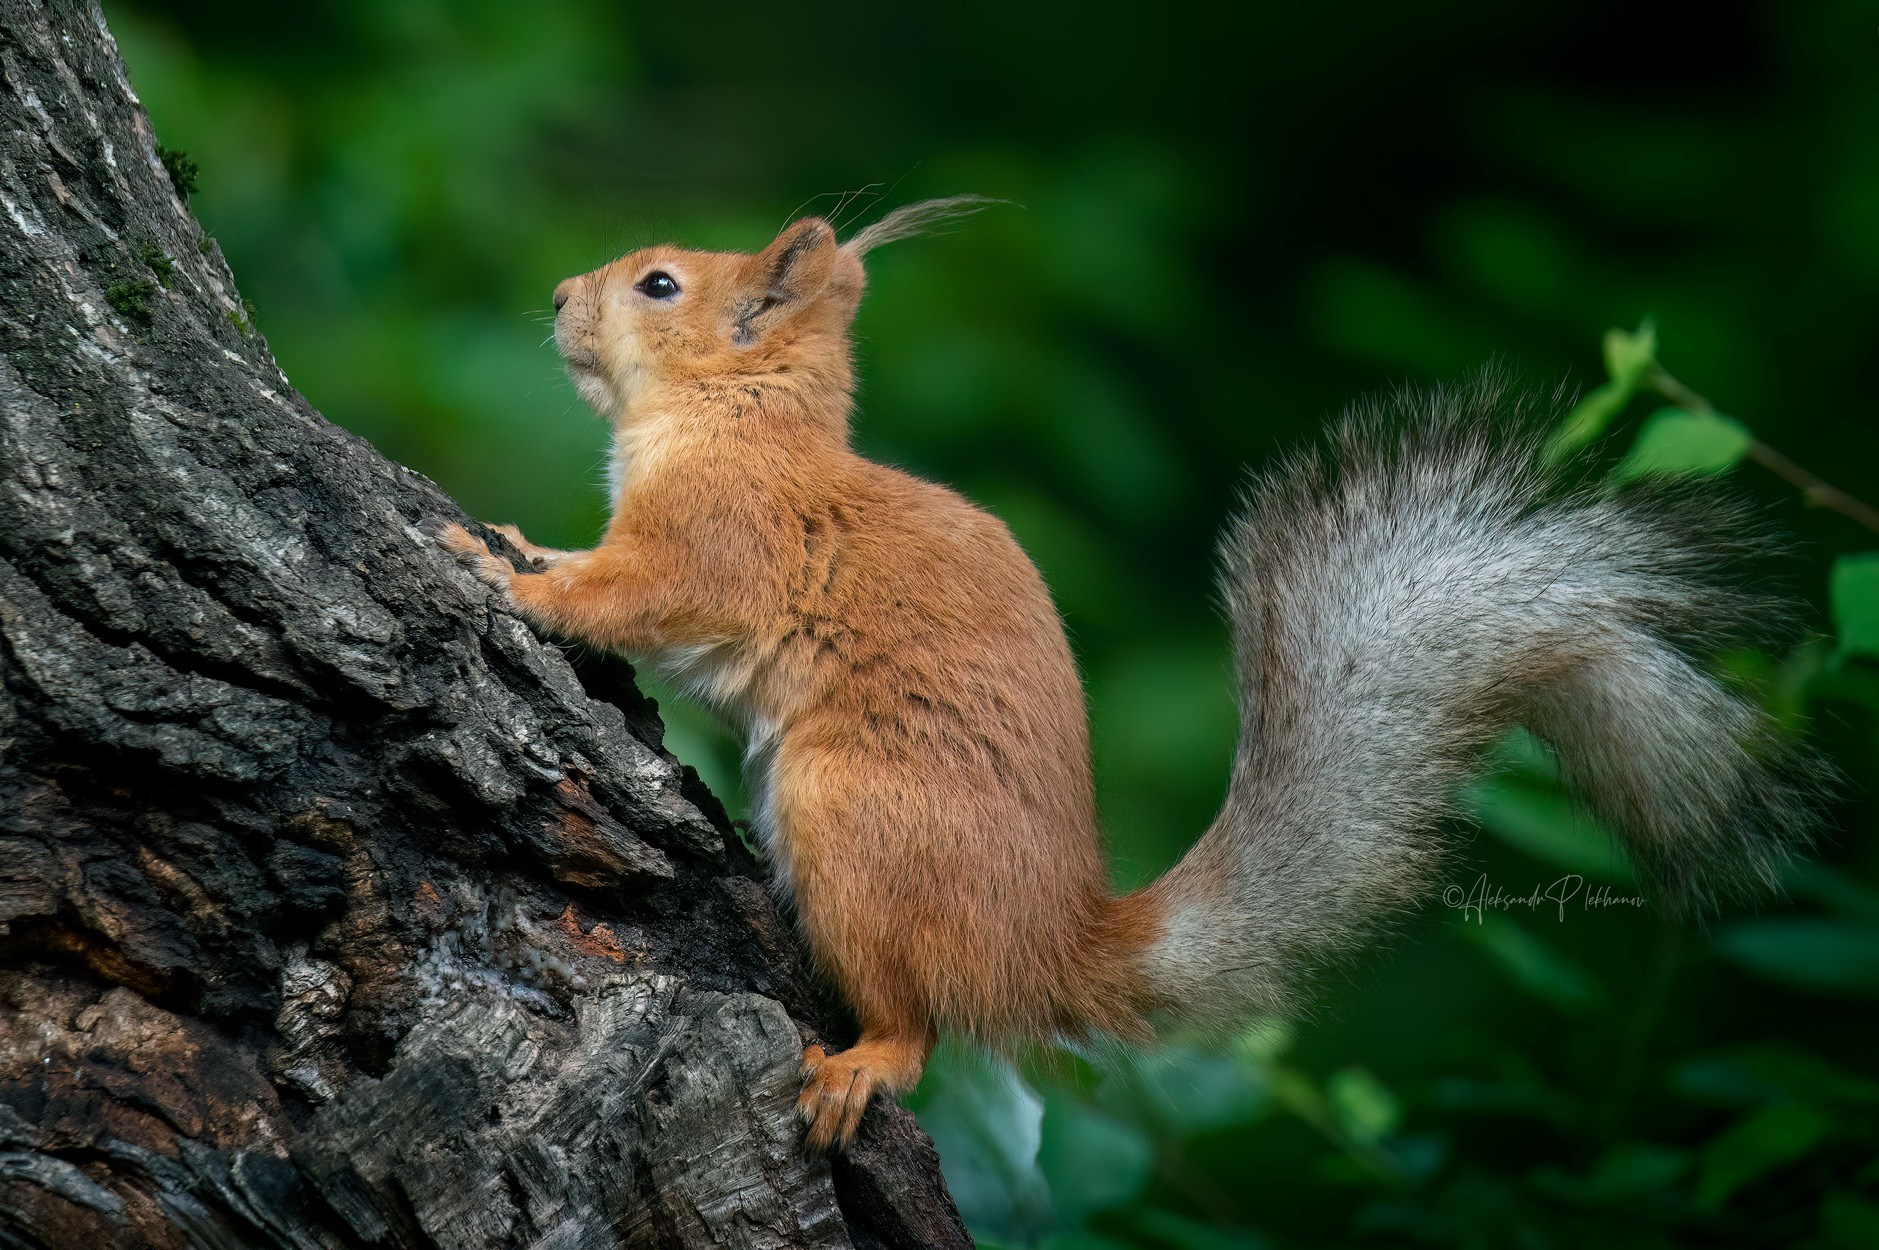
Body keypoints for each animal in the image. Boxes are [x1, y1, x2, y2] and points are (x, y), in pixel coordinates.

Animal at [425, 198, 1814, 1151]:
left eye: (659, 283)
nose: (560, 292)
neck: (742, 410)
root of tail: (1056, 944)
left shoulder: (718, 538)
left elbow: (630, 594)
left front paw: (500, 574)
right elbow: (592, 564)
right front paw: (520, 541)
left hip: (856, 820)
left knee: (923, 1023)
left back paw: (866, 1058)